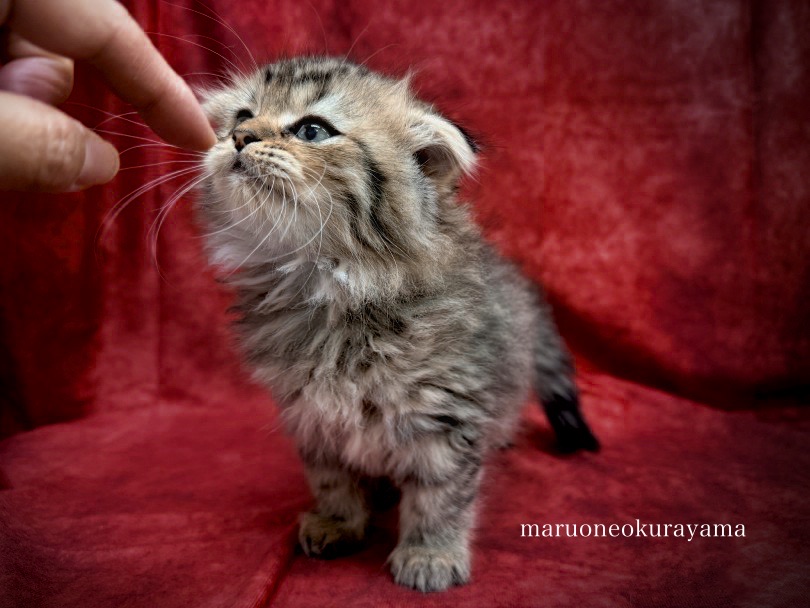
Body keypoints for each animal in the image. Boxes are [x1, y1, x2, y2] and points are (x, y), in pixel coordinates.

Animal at [197, 55, 600, 588]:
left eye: (312, 130)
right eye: (242, 115)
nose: (240, 137)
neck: (328, 288)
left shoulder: (446, 412)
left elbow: (440, 494)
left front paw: (430, 553)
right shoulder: (311, 415)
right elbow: (331, 479)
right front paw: (339, 521)